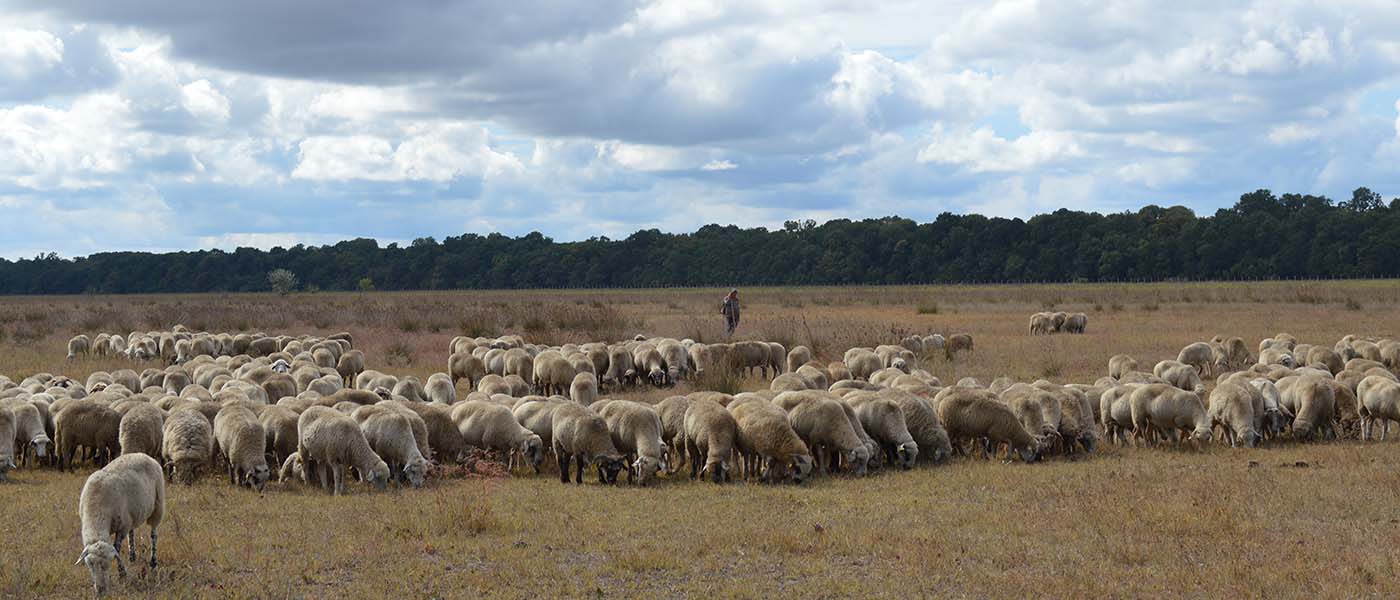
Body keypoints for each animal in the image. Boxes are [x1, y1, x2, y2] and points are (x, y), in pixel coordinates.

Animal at [75, 453, 165, 593]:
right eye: (90, 565)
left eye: (107, 565)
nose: (100, 590)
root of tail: (142, 454)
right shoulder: (125, 522)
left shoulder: (122, 527)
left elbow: (116, 548)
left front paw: (122, 574)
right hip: (132, 515)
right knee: (132, 532)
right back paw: (132, 556)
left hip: (158, 505)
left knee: (153, 534)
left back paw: (153, 563)